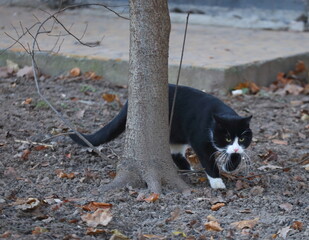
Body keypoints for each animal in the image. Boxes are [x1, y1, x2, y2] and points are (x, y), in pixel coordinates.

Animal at [70, 84, 253, 189]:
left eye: (242, 139)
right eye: (227, 138)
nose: (235, 147)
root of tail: (129, 103)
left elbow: (237, 155)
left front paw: (230, 165)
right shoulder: (199, 139)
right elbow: (208, 160)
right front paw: (217, 182)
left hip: (177, 133)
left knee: (175, 152)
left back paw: (187, 168)